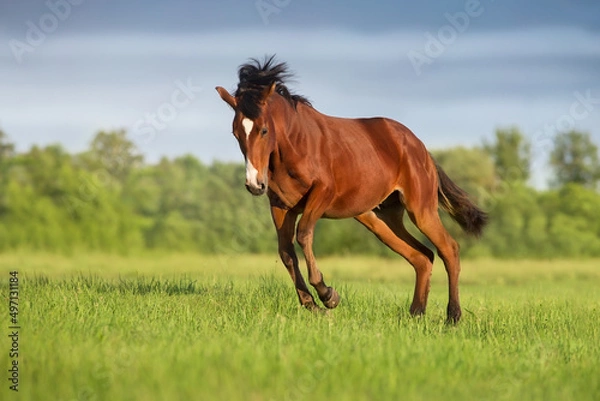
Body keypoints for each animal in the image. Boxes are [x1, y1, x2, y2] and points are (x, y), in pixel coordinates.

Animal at [216, 55, 488, 322]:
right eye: (236, 133)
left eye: (263, 130)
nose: (254, 184)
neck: (295, 145)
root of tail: (420, 148)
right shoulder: (281, 206)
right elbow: (286, 252)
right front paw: (312, 305)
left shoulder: (322, 193)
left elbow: (303, 234)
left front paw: (328, 295)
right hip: (381, 217)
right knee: (422, 257)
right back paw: (415, 314)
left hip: (420, 210)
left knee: (449, 249)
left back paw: (453, 316)